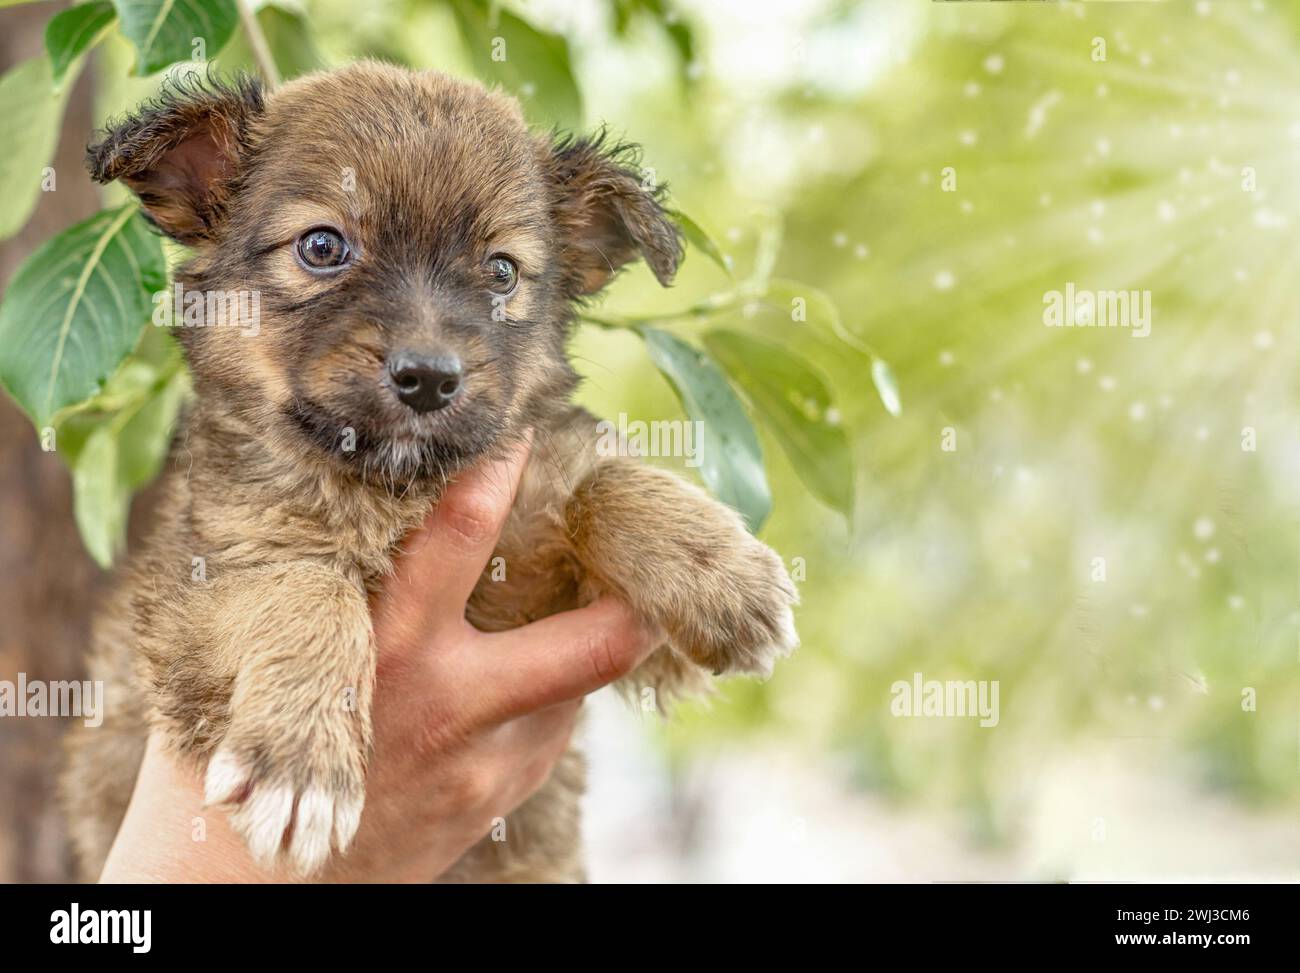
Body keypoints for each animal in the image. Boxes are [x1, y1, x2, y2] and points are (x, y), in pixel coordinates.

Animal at [63, 60, 800, 879]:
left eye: (502, 272)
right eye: (322, 247)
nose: (429, 378)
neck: (396, 488)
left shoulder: (585, 594)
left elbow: (597, 481)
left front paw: (721, 570)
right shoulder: (207, 575)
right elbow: (306, 587)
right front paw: (303, 758)